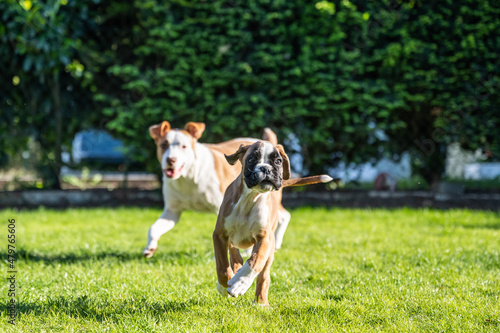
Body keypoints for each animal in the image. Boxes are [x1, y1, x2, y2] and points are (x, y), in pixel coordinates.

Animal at [143, 121, 292, 256]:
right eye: (163, 145)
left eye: (184, 146)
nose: (171, 160)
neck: (187, 177)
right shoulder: (172, 211)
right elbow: (153, 228)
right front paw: (150, 247)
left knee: (284, 215)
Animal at [212, 139, 332, 304]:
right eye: (251, 160)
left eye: (278, 161)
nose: (266, 169)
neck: (250, 198)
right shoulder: (219, 235)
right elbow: (222, 266)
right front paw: (224, 286)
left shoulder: (265, 238)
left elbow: (255, 261)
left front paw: (239, 283)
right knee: (235, 256)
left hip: (269, 252)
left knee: (263, 275)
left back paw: (260, 302)